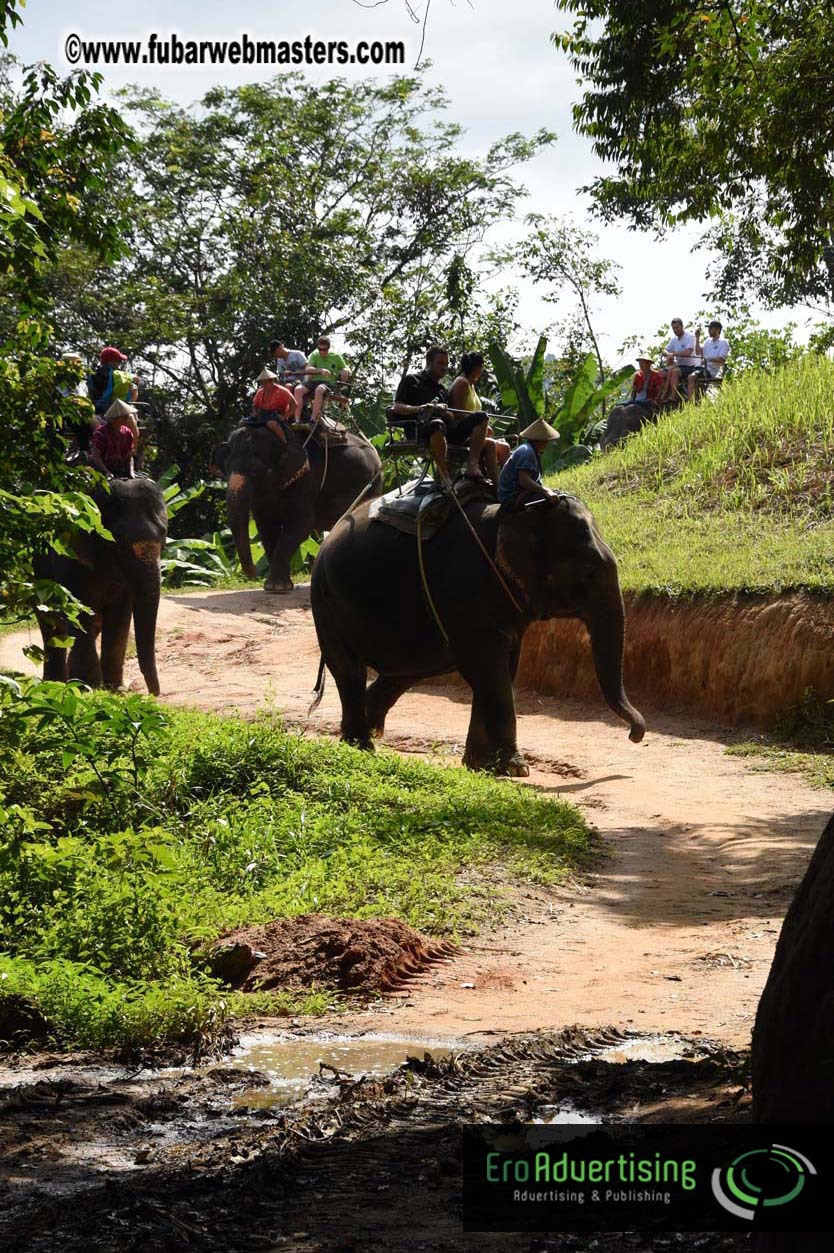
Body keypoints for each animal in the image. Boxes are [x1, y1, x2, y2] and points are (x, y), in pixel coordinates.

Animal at [34, 477, 167, 695]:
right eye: (118, 544)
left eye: (164, 535)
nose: (153, 695)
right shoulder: (67, 555)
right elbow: (78, 609)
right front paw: (89, 688)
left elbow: (120, 614)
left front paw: (116, 690)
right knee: (51, 624)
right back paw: (55, 684)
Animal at [212, 424, 383, 593]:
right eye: (226, 469)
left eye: (257, 471)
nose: (254, 572)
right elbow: (266, 529)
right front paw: (277, 586)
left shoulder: (307, 480)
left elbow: (301, 526)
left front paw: (277, 587)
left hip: (372, 485)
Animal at [310, 490, 645, 775]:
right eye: (588, 570)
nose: (634, 736)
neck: (518, 513)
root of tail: (325, 538)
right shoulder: (466, 591)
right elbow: (490, 672)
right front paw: (514, 768)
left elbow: (501, 670)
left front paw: (480, 765)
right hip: (326, 600)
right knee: (349, 669)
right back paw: (360, 747)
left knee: (409, 669)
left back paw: (371, 727)